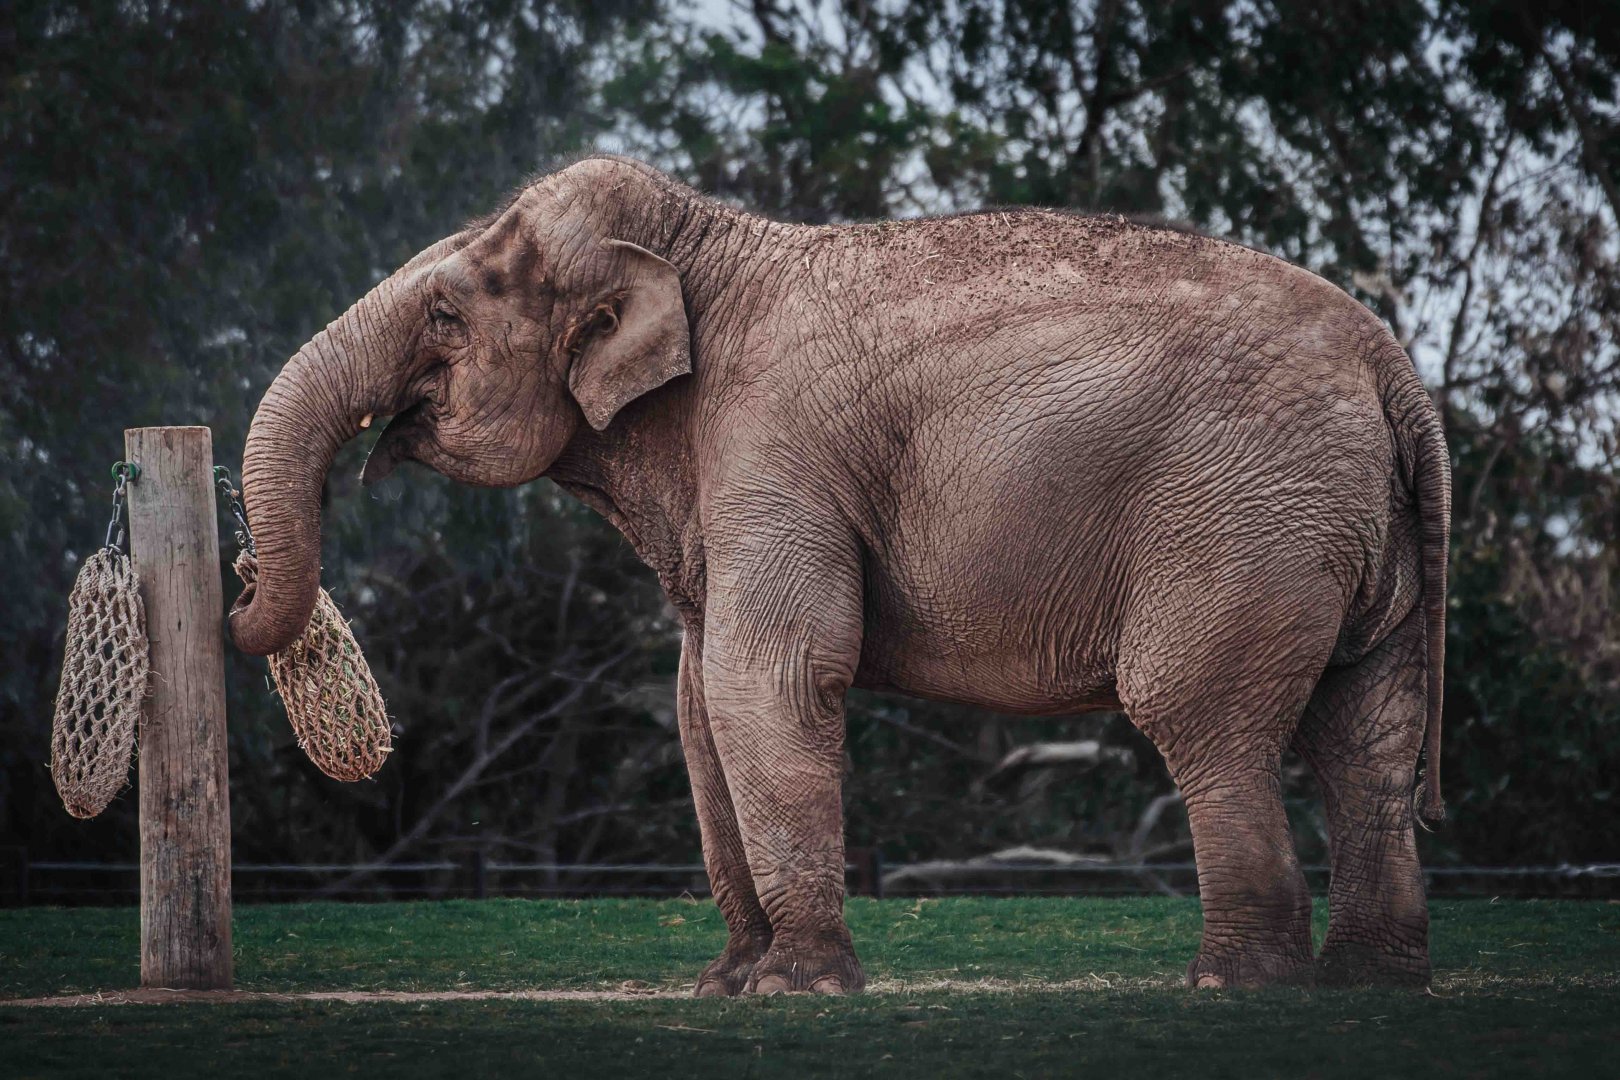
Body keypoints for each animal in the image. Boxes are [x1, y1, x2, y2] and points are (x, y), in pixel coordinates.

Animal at [231, 154, 1450, 995]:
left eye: (445, 314)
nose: (240, 586)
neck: (708, 245)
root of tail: (1393, 367)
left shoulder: (777, 445)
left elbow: (764, 678)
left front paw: (794, 989)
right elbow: (697, 703)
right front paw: (728, 987)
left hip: (1241, 523)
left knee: (1203, 716)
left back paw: (1234, 984)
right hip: (1353, 544)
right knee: (1368, 739)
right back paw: (1369, 983)